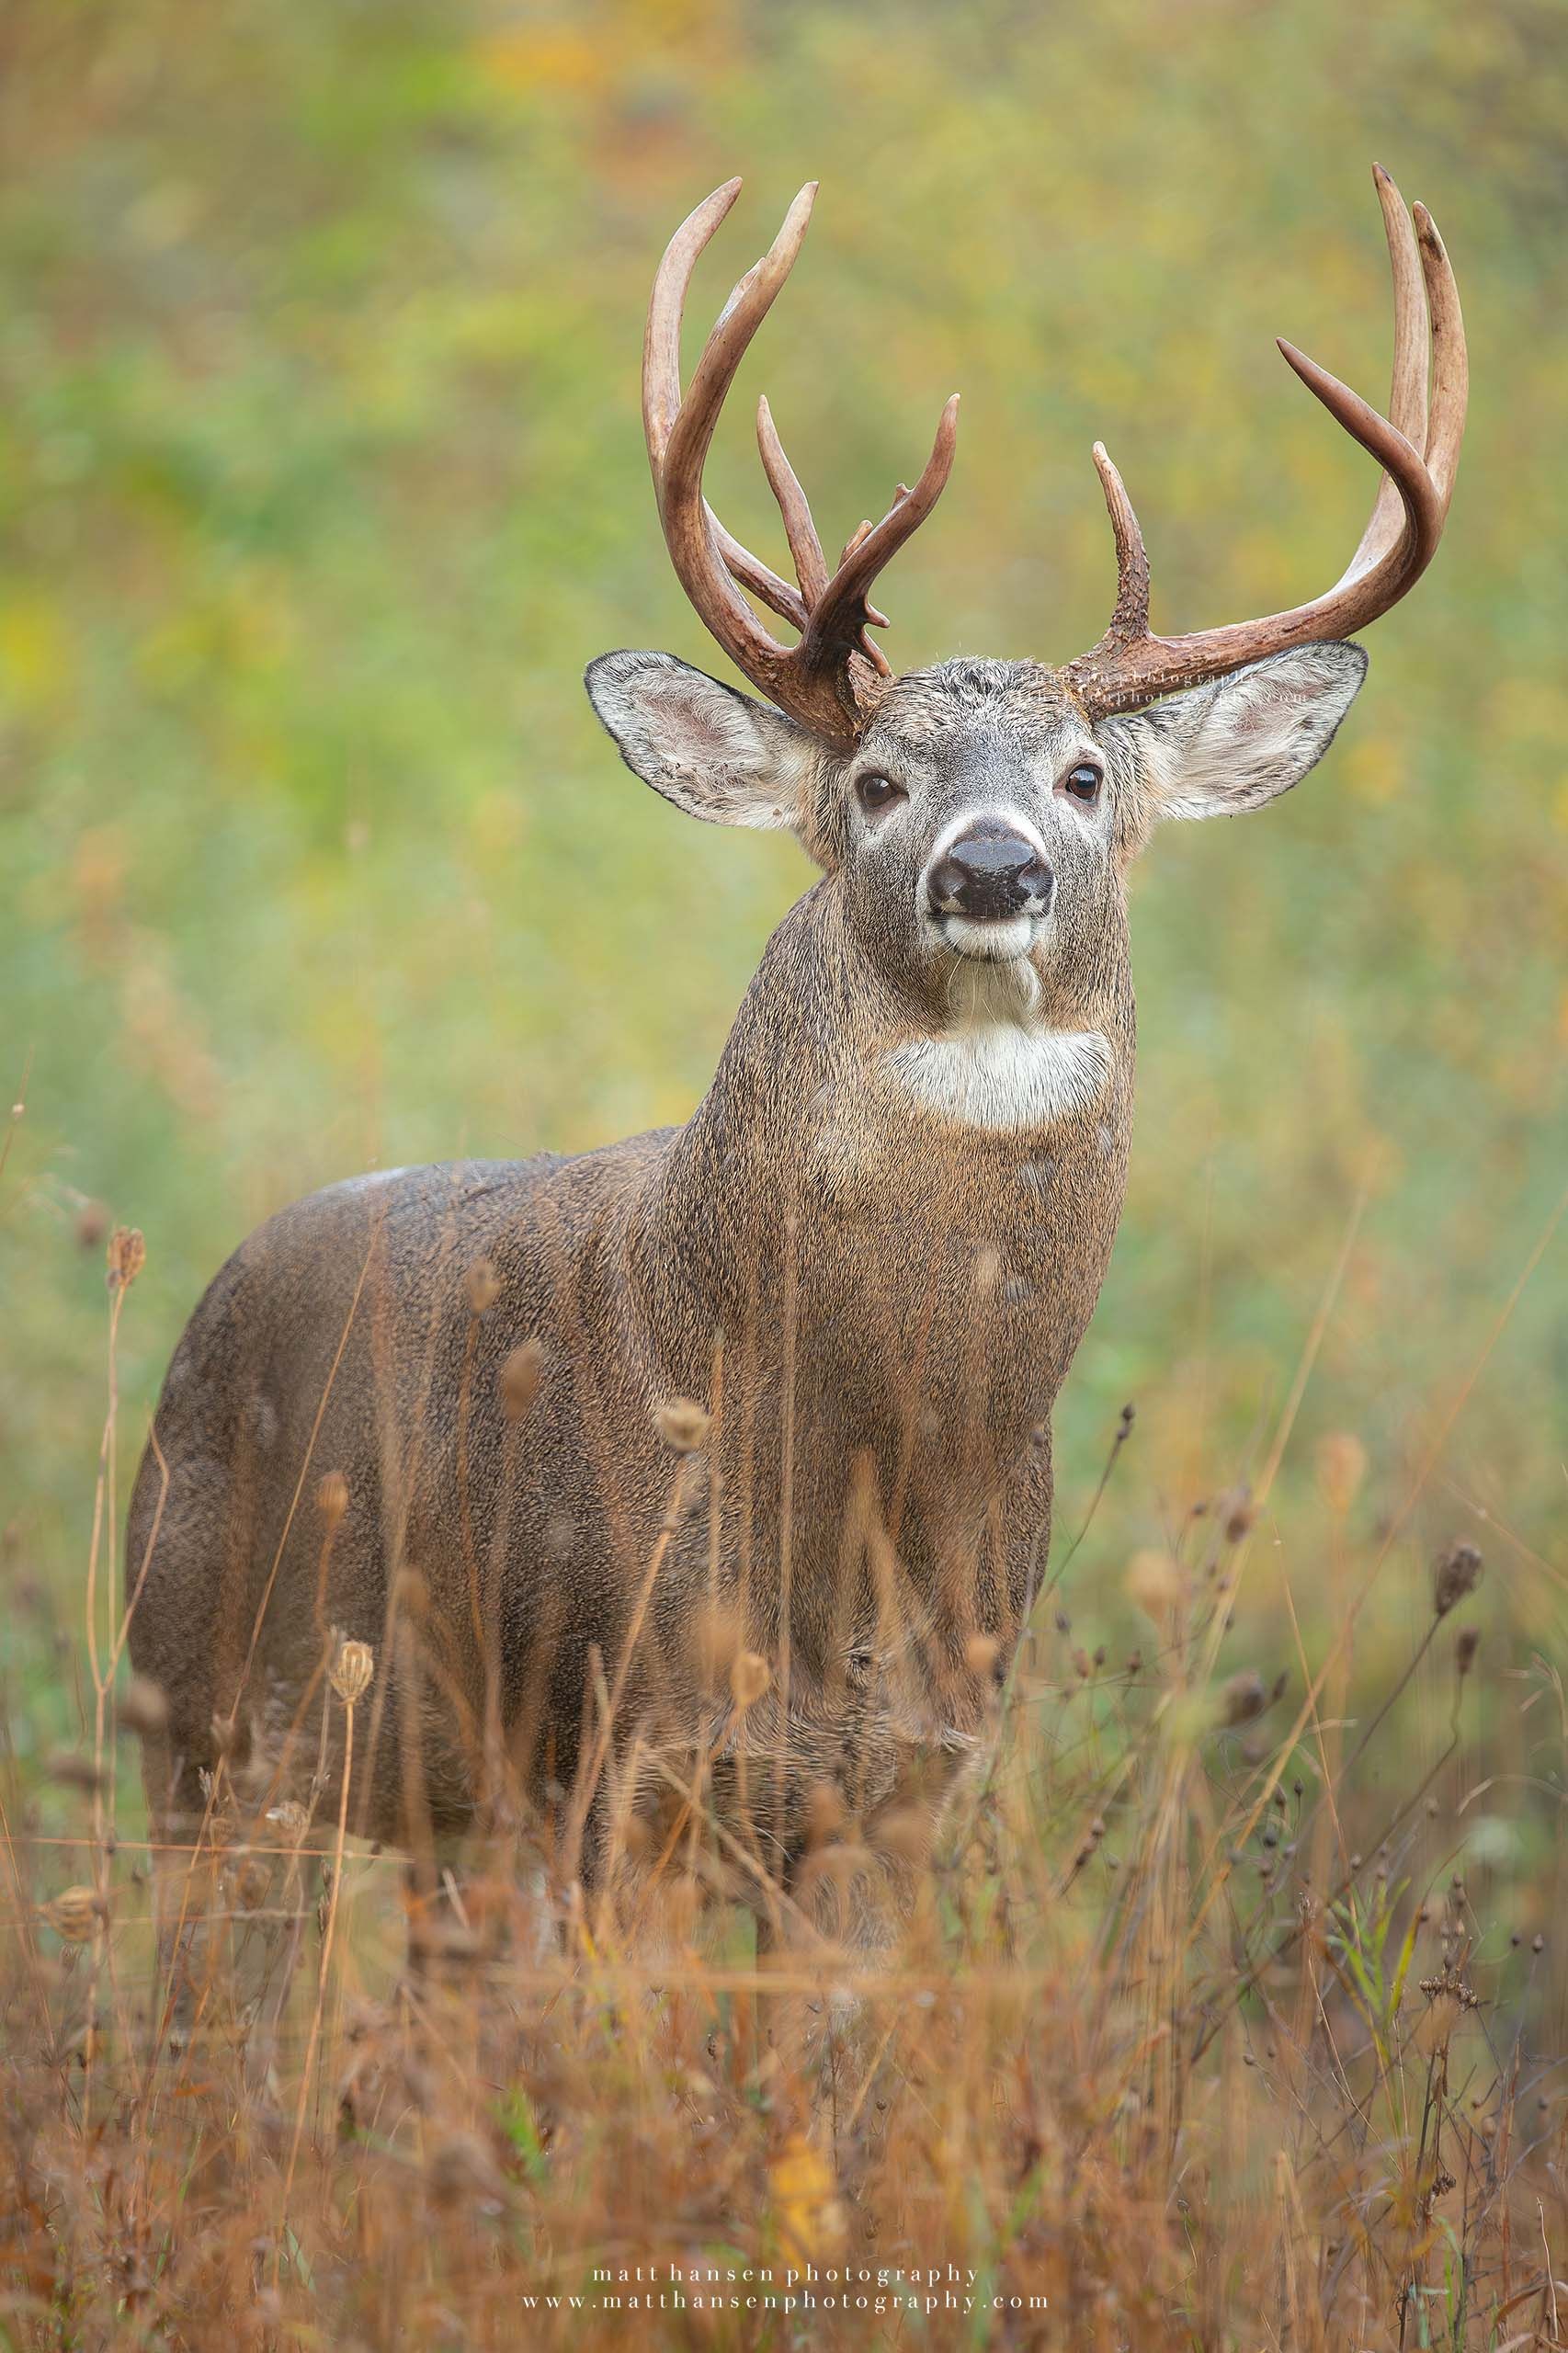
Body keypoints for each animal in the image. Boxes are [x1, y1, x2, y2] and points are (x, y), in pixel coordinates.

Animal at [126, 166, 1465, 1971]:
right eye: (880, 782)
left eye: (1084, 774)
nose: (992, 868)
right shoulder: (611, 1751)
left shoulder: (910, 1779)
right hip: (206, 1725)